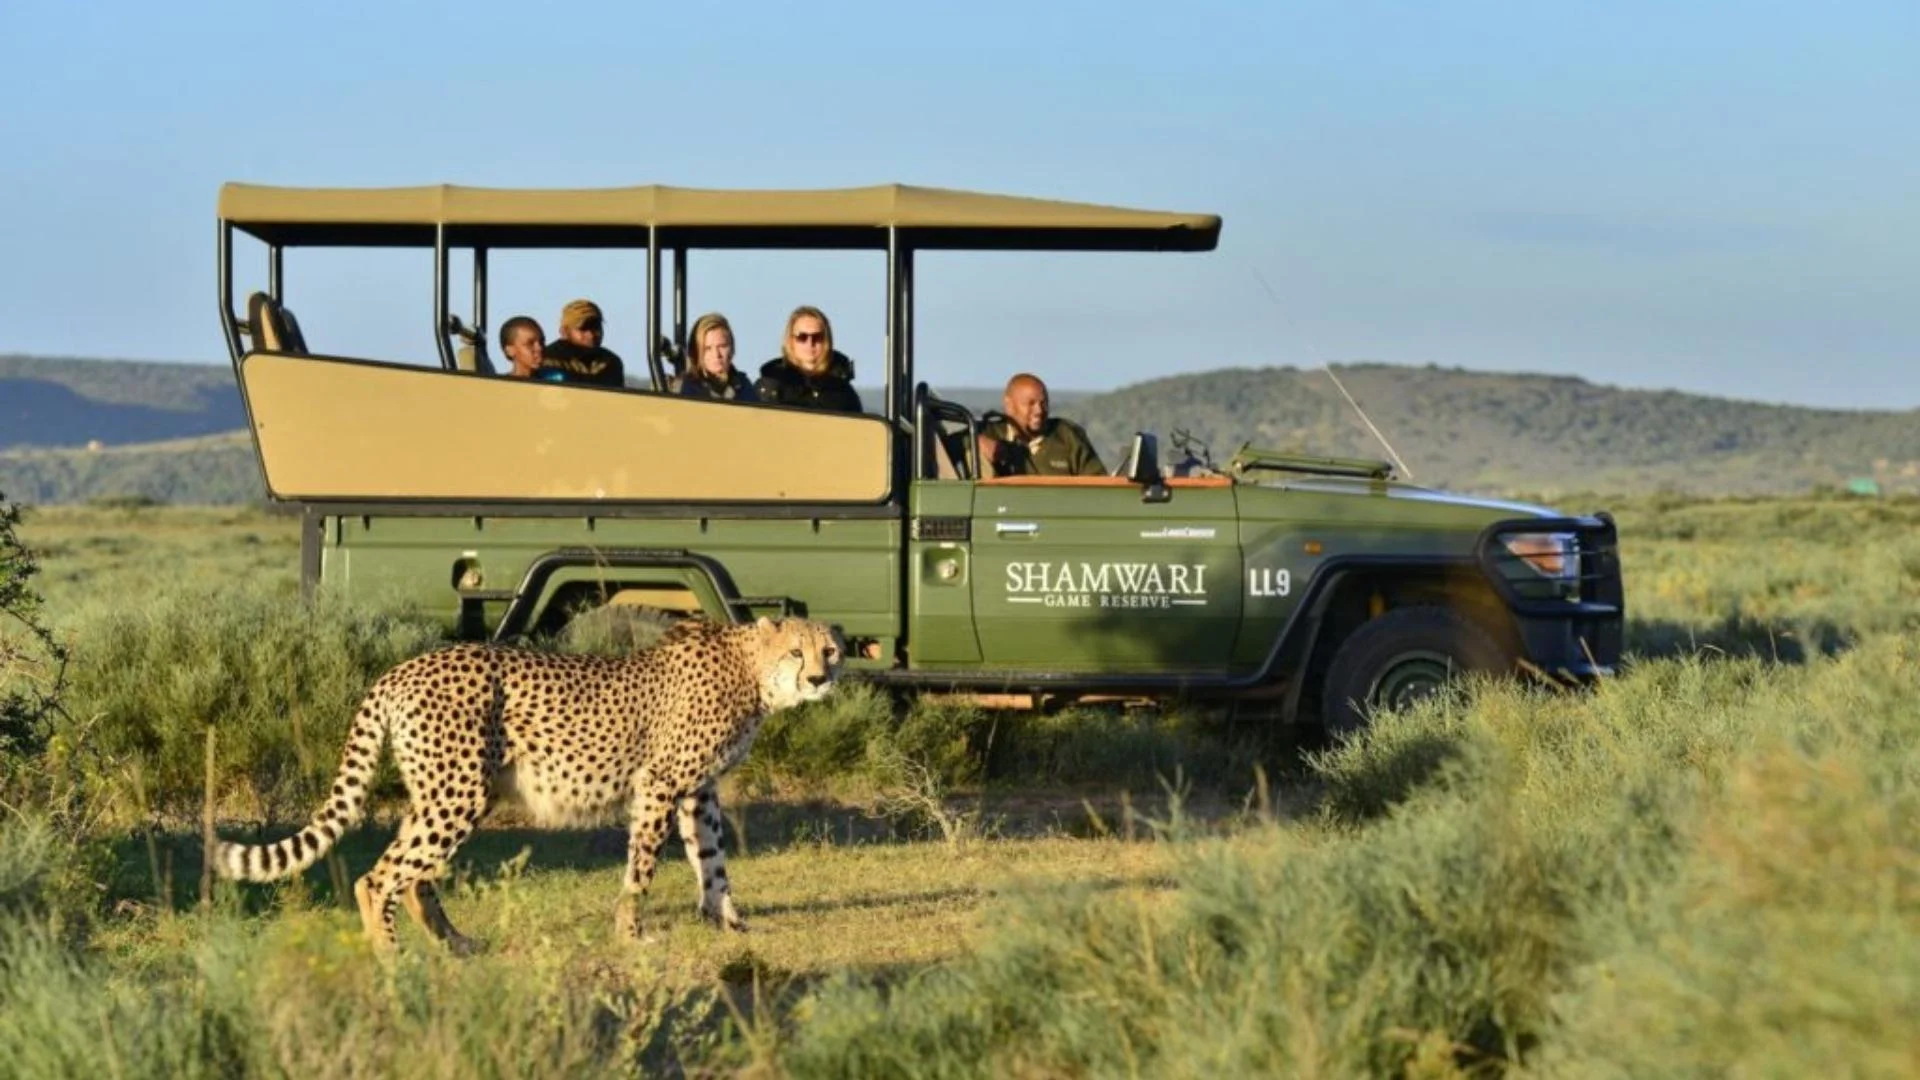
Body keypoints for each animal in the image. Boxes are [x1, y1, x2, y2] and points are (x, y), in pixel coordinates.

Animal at [213, 615, 843, 954]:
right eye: (796, 651)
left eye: (829, 650)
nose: (819, 678)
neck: (751, 670)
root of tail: (399, 669)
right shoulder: (661, 783)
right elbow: (642, 867)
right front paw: (631, 932)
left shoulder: (699, 790)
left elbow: (712, 859)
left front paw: (728, 919)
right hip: (460, 792)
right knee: (380, 875)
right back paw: (390, 956)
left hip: (449, 790)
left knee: (414, 874)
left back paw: (455, 944)